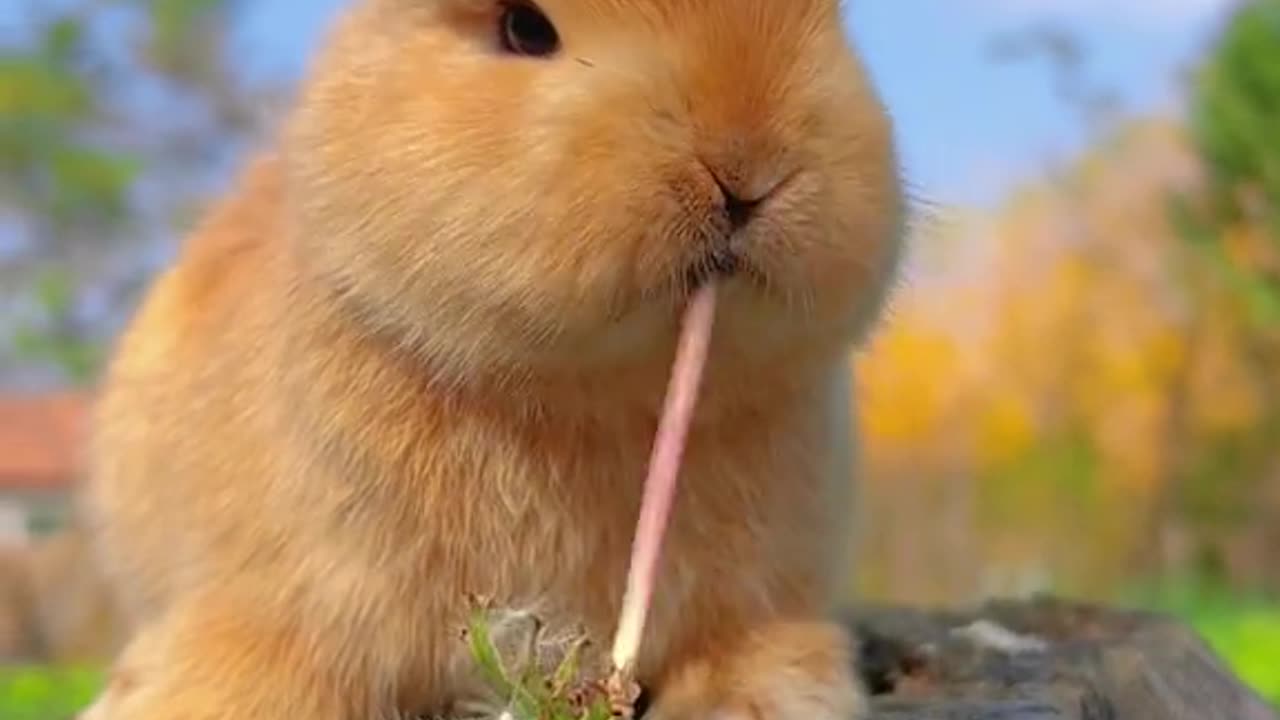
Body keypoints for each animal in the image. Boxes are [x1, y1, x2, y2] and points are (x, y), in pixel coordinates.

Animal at [80, 1, 906, 712]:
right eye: (524, 28)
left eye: (831, 24)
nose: (747, 167)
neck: (582, 405)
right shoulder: (295, 588)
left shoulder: (760, 596)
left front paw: (765, 696)